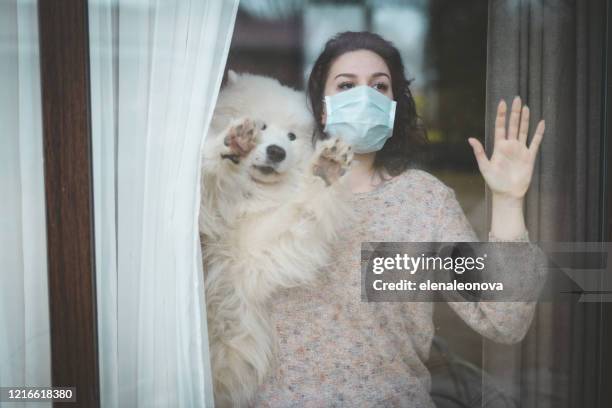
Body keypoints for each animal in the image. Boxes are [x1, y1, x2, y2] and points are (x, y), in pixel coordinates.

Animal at [200, 71, 352, 406]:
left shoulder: (251, 253)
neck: (247, 195)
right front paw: (231, 146)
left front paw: (324, 171)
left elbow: (299, 207)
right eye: (262, 126)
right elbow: (208, 176)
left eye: (292, 137)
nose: (276, 151)